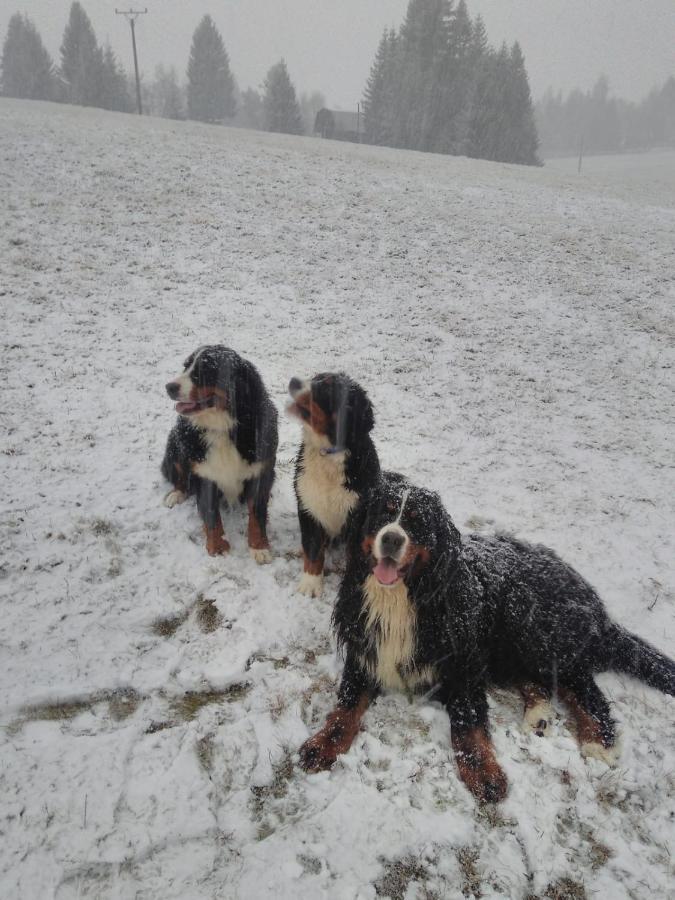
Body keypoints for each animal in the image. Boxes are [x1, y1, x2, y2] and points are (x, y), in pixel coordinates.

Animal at [161, 344, 278, 564]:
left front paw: (259, 547)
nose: (169, 386)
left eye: (204, 371)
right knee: (180, 476)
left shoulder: (260, 471)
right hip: (177, 444)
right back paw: (176, 494)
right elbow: (211, 514)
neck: (222, 428)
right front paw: (217, 546)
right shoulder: (204, 474)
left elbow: (256, 514)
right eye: (186, 366)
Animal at [286, 372, 380, 596]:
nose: (293, 381)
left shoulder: (358, 514)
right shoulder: (308, 504)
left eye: (328, 389)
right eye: (315, 377)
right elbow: (313, 548)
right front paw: (310, 583)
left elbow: (352, 553)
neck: (328, 453)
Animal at [302, 474, 675, 804]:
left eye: (416, 521)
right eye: (383, 512)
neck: (402, 598)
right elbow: (345, 708)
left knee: (581, 684)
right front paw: (321, 745)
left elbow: (467, 723)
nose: (392, 539)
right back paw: (538, 715)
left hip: (529, 625)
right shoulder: (365, 653)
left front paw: (483, 772)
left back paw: (599, 741)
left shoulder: (463, 666)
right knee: (539, 681)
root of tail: (587, 593)